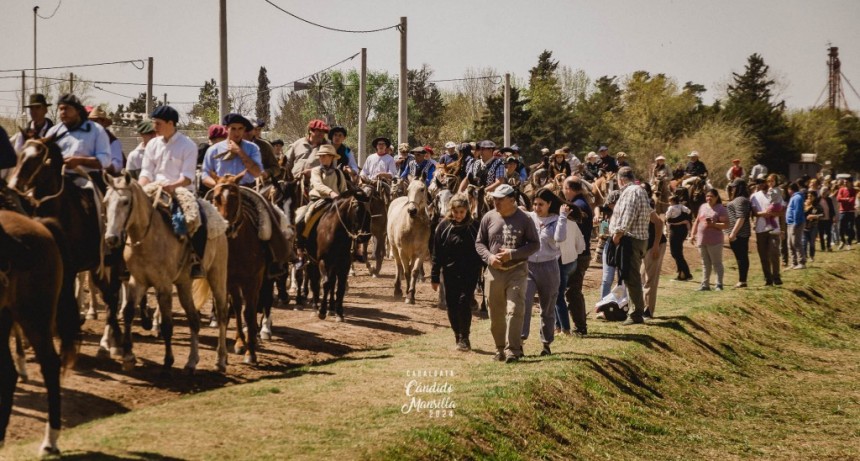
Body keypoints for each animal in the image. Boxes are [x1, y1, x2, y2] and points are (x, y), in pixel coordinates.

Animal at [103, 174, 230, 372]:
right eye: (106, 202)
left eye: (125, 202)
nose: (111, 238)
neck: (147, 238)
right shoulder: (138, 281)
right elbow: (128, 312)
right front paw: (129, 356)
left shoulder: (163, 286)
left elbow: (167, 325)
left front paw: (168, 361)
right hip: (184, 283)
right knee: (193, 319)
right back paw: (191, 361)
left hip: (218, 276)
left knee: (222, 314)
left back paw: (221, 359)